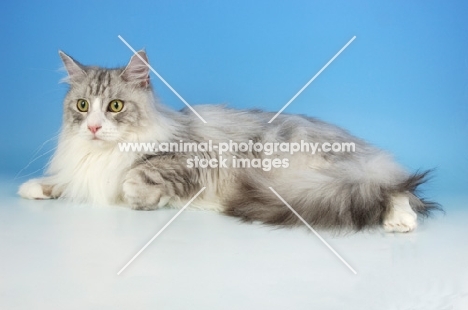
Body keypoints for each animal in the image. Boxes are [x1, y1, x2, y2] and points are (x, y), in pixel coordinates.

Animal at [18, 49, 440, 231]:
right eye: (83, 106)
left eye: (116, 106)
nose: (93, 127)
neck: (102, 154)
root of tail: (363, 149)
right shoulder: (84, 172)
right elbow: (65, 181)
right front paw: (35, 187)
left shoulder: (184, 159)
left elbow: (135, 178)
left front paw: (142, 197)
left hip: (308, 173)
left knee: (393, 190)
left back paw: (400, 221)